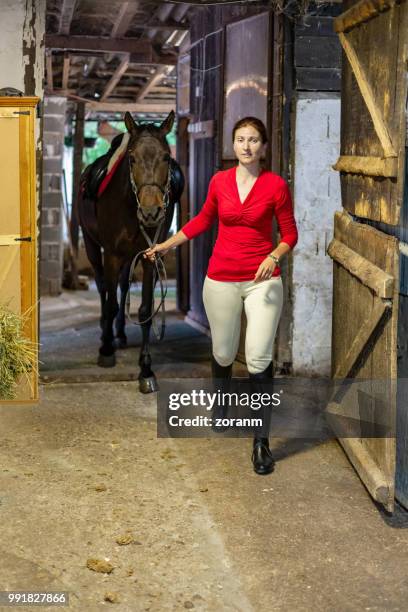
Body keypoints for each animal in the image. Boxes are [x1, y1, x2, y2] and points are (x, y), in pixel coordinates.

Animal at [77, 111, 185, 392]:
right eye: (132, 158)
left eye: (166, 157)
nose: (150, 213)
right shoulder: (112, 254)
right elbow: (112, 303)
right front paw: (105, 350)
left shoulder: (149, 256)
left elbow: (145, 310)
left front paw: (146, 368)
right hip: (93, 247)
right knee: (103, 288)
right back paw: (106, 332)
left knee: (123, 286)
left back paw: (121, 334)